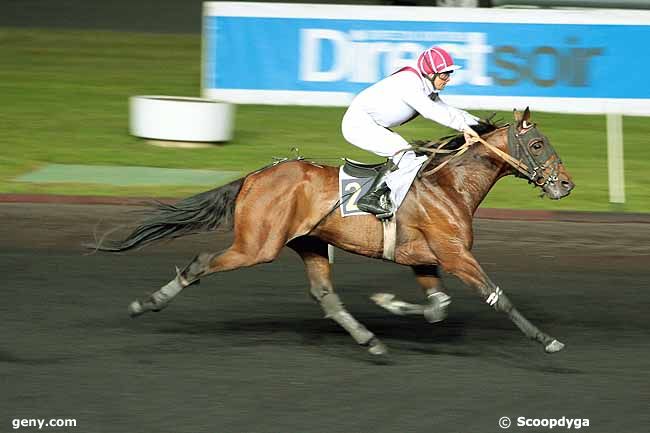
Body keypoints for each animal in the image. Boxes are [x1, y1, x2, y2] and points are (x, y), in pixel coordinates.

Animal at [95, 107, 572, 354]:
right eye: (537, 144)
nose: (565, 184)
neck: (447, 185)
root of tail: (253, 177)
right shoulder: (455, 254)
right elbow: (497, 296)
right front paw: (547, 339)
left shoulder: (424, 258)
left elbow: (437, 308)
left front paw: (388, 303)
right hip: (257, 244)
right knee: (200, 263)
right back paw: (147, 303)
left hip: (309, 243)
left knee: (324, 294)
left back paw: (368, 339)